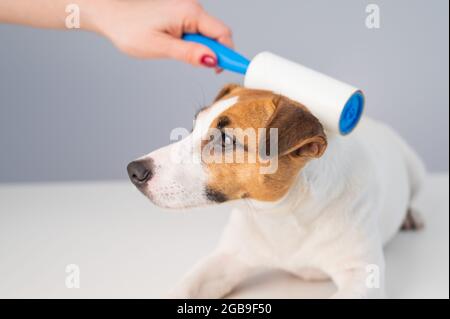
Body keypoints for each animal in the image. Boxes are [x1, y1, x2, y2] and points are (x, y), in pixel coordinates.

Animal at [127, 84, 426, 300]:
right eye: (193, 126)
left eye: (224, 139)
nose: (133, 170)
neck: (282, 215)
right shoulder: (227, 258)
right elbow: (187, 284)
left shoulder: (362, 277)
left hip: (415, 167)